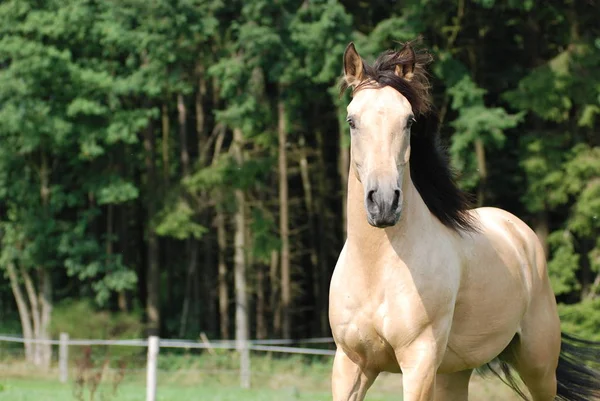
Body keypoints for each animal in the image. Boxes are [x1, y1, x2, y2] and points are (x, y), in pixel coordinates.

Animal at [328, 39, 600, 400]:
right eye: (352, 120)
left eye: (409, 121)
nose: (384, 203)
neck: (376, 269)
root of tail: (519, 233)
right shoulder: (350, 364)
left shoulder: (419, 363)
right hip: (455, 371)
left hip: (538, 365)